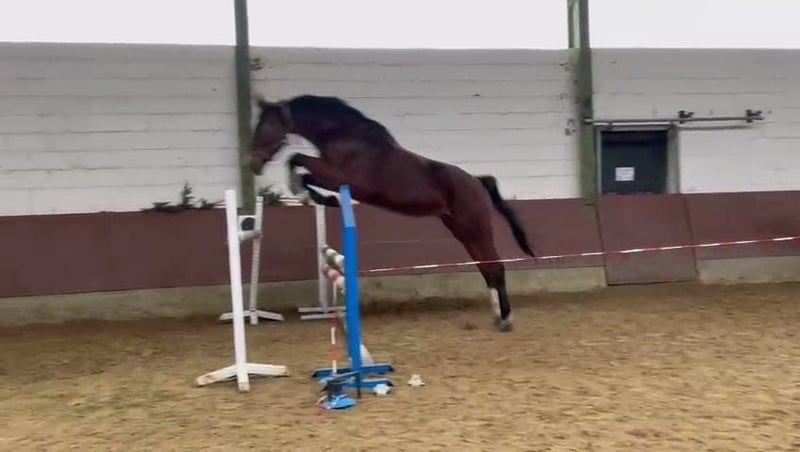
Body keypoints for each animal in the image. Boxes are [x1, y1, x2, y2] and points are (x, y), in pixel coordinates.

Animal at [249, 94, 535, 332]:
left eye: (265, 126)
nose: (252, 164)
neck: (345, 137)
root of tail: (477, 182)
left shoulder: (339, 176)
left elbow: (299, 161)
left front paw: (301, 190)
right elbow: (301, 165)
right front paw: (315, 196)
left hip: (476, 228)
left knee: (496, 267)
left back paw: (506, 319)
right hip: (462, 231)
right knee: (486, 268)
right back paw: (498, 316)